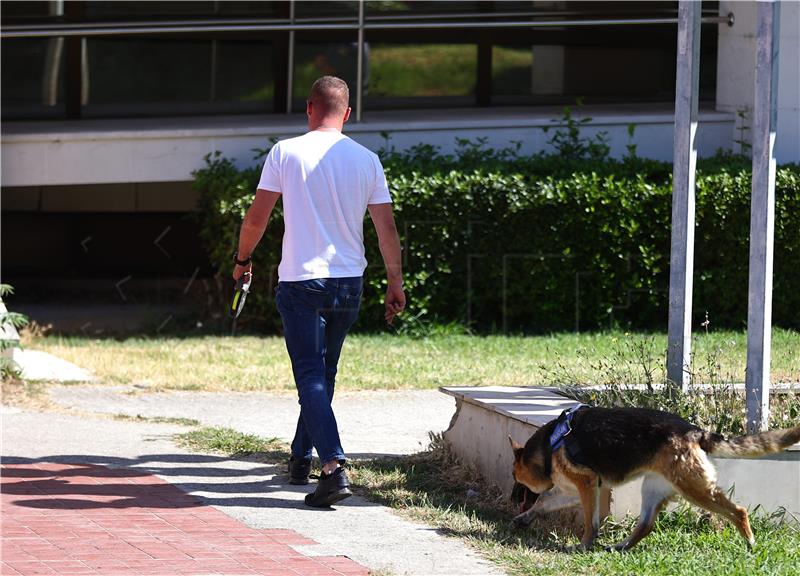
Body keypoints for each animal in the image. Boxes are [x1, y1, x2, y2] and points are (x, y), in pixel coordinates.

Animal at [510, 408, 800, 552]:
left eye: (515, 477)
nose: (513, 500)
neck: (549, 444)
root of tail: (695, 431)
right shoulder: (574, 490)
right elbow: (545, 501)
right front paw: (524, 518)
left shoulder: (586, 484)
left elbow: (590, 523)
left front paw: (583, 545)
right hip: (654, 488)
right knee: (646, 525)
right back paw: (621, 546)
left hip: (695, 490)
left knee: (738, 511)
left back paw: (750, 542)